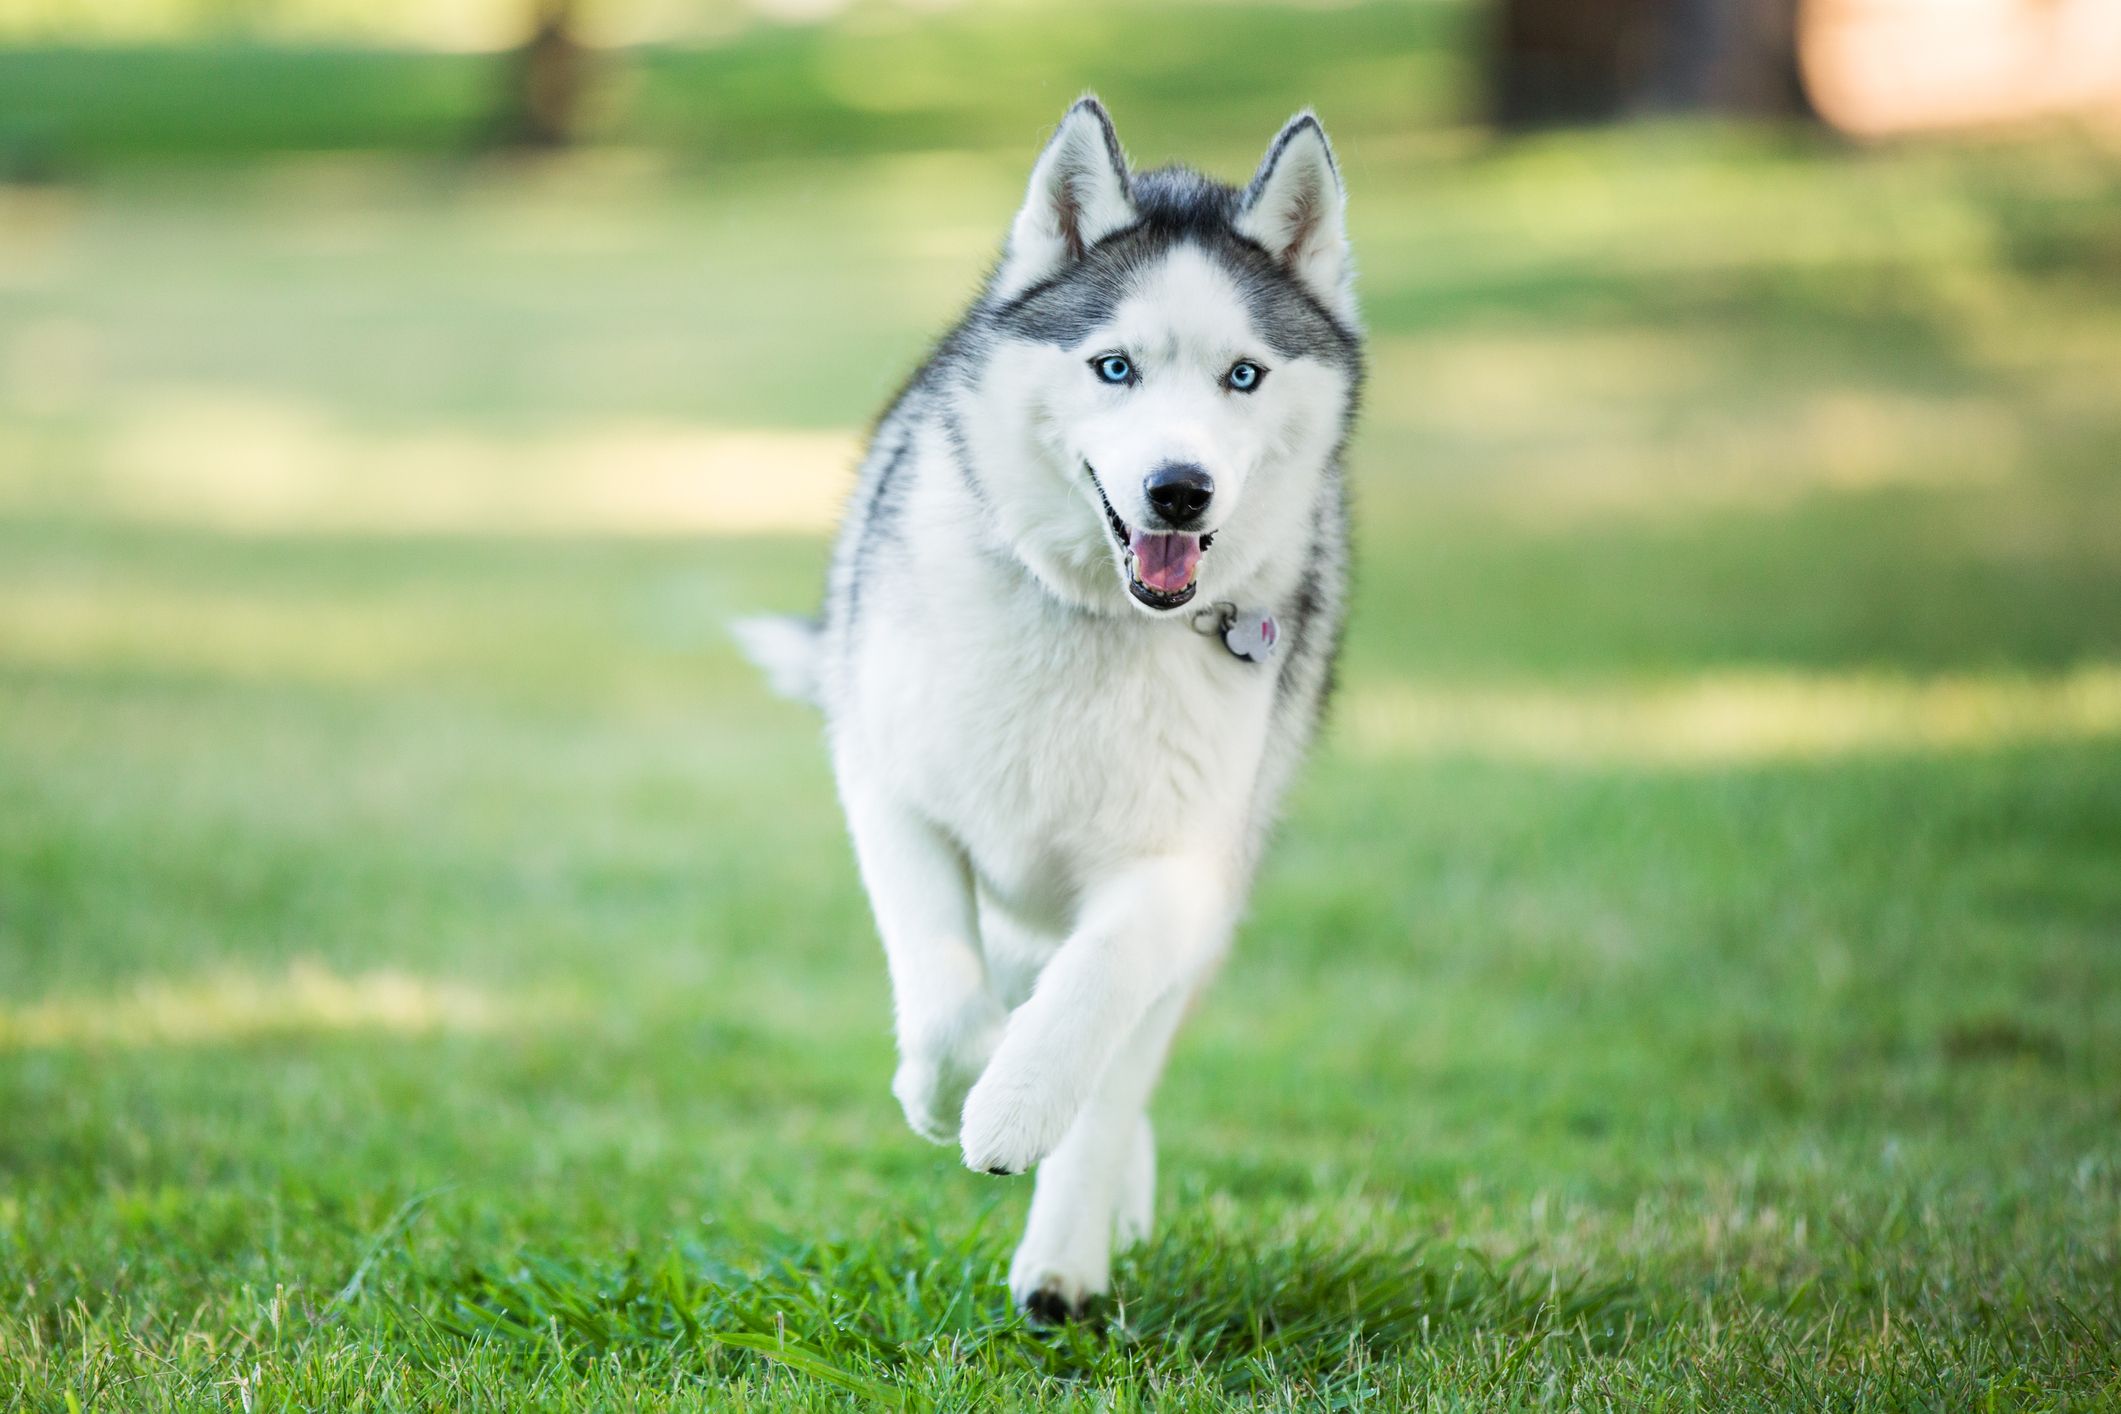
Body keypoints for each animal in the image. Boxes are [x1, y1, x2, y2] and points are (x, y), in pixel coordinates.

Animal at [733, 96, 1357, 1314]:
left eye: (1243, 376)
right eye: (1114, 367)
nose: (1179, 490)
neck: (1094, 619)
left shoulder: (1185, 869)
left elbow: (1095, 995)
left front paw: (1019, 1109)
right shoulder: (891, 789)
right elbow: (942, 987)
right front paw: (953, 1082)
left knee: (1118, 1071)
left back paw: (1065, 1259)